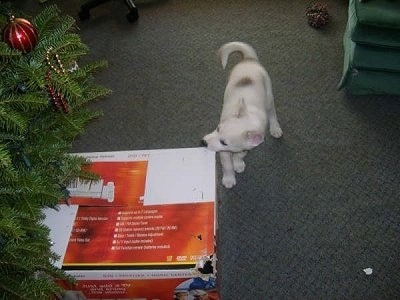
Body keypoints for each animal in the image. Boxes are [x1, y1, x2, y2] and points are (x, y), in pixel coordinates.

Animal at [202, 41, 282, 189]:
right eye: (218, 128)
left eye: (224, 142)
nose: (203, 142)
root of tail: (249, 59)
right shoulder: (224, 152)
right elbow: (227, 165)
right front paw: (229, 179)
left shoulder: (246, 146)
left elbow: (239, 154)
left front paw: (238, 163)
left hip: (268, 96)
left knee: (272, 112)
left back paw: (275, 128)